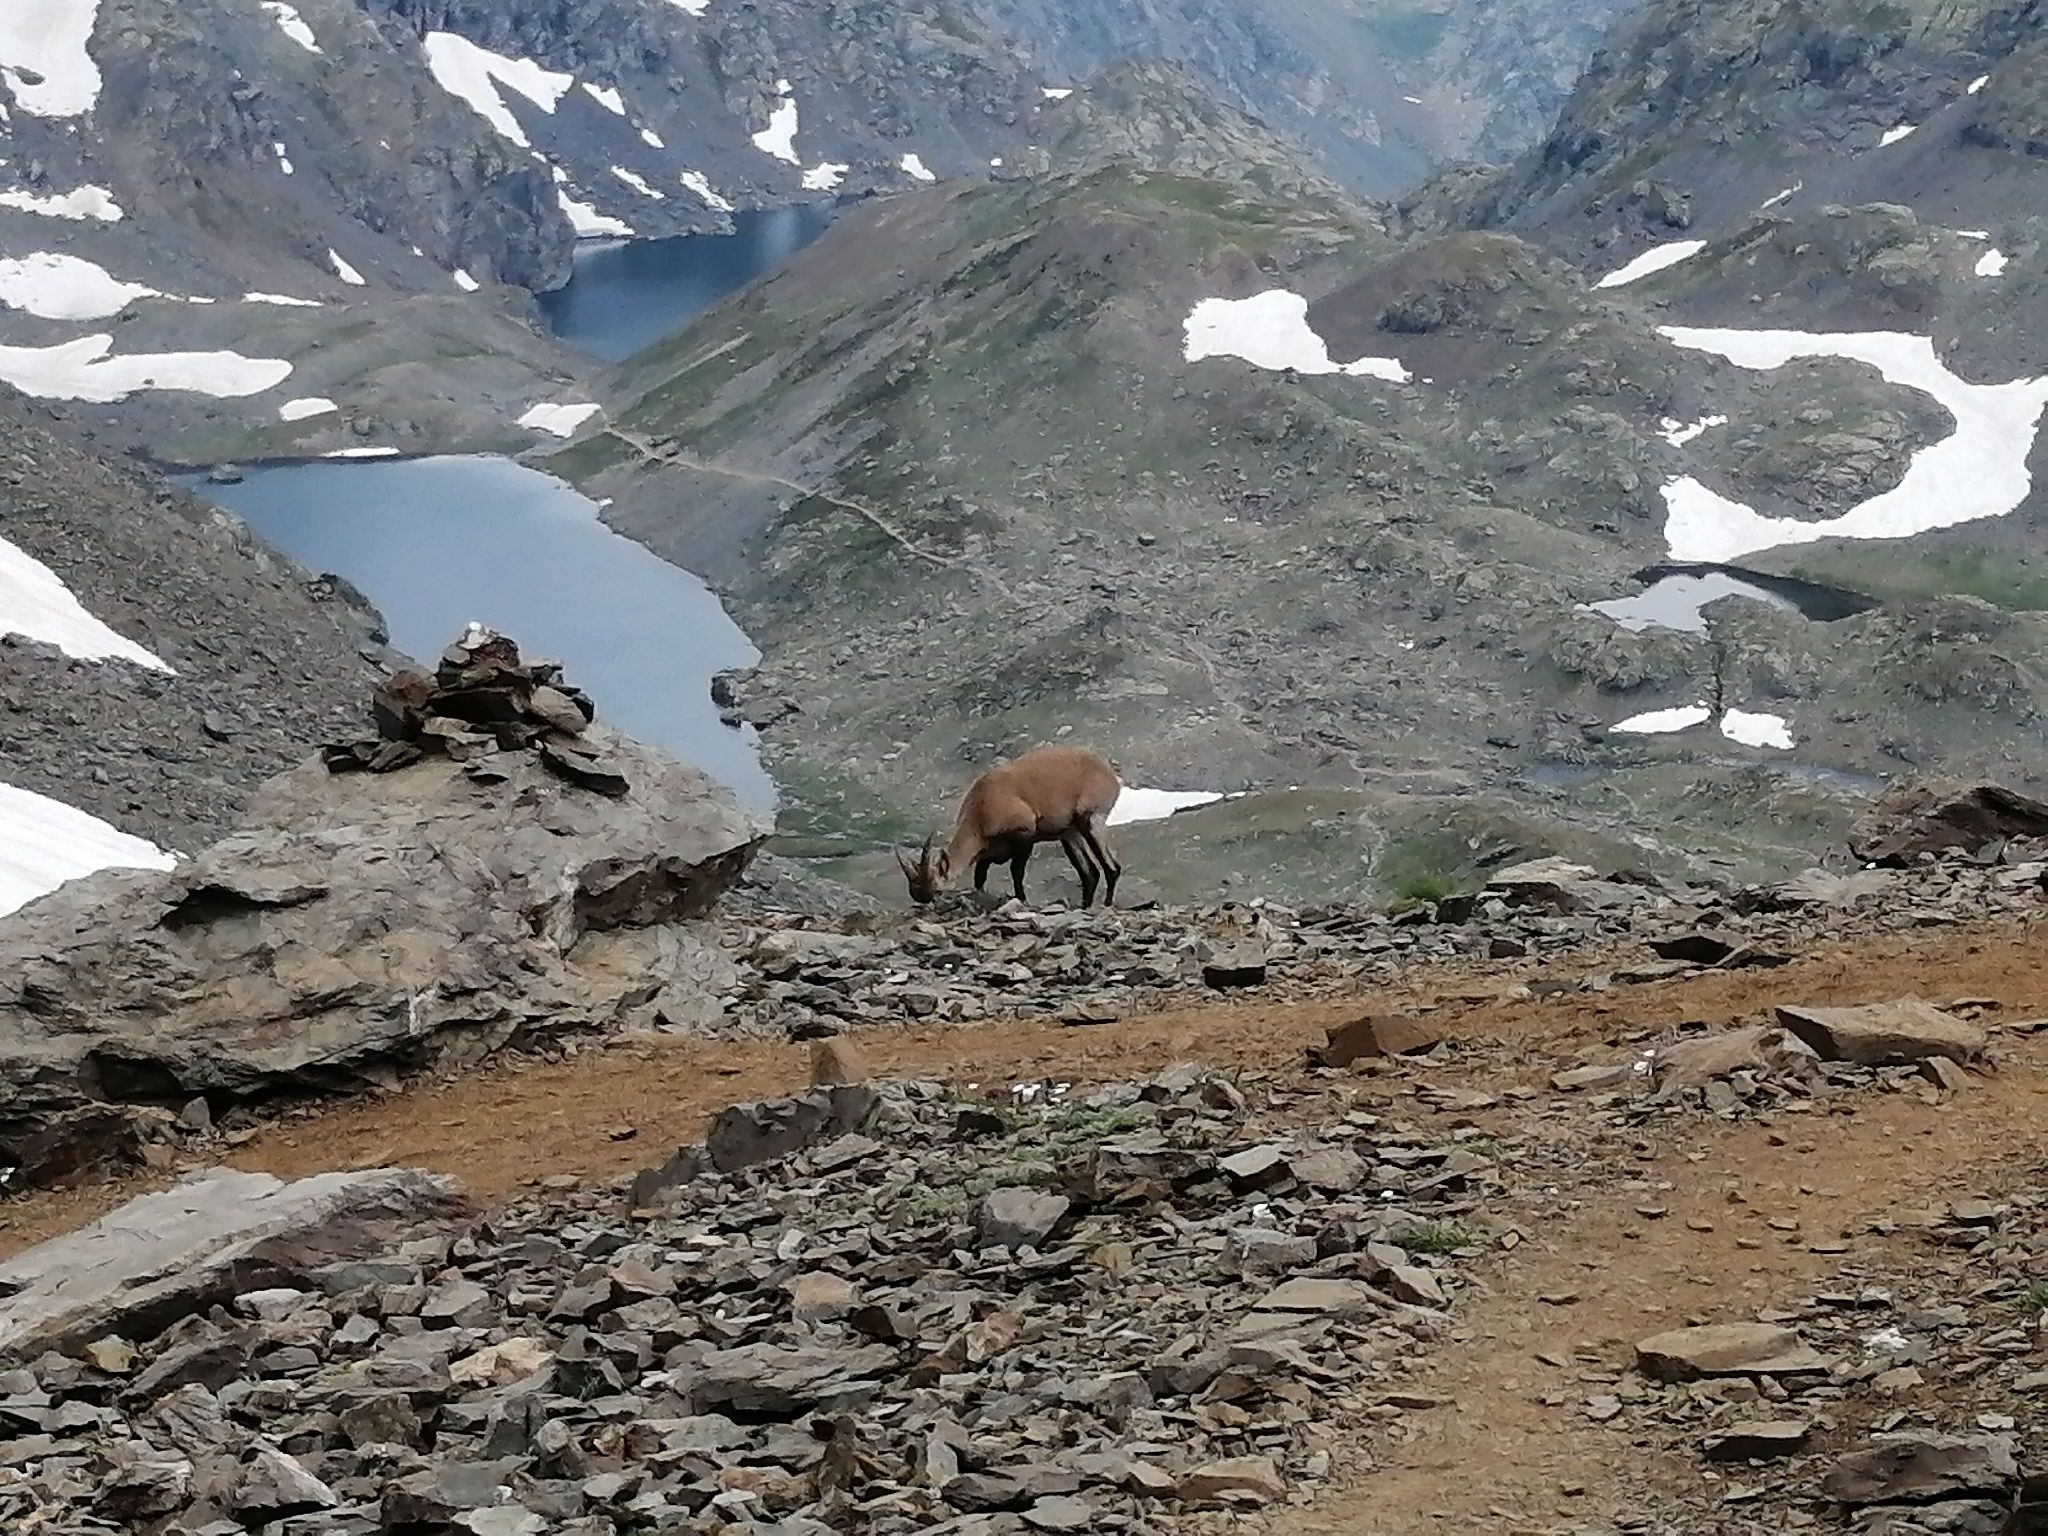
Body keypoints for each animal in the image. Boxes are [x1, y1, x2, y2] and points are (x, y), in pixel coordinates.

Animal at [898, 745, 1124, 909]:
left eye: (937, 889)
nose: (925, 902)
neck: (981, 805)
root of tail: (1111, 775)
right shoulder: (988, 852)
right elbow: (980, 877)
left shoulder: (1025, 833)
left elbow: (1016, 871)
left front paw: (1021, 899)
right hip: (1070, 833)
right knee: (1090, 873)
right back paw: (1085, 906)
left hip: (1091, 818)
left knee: (1112, 867)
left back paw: (1106, 903)